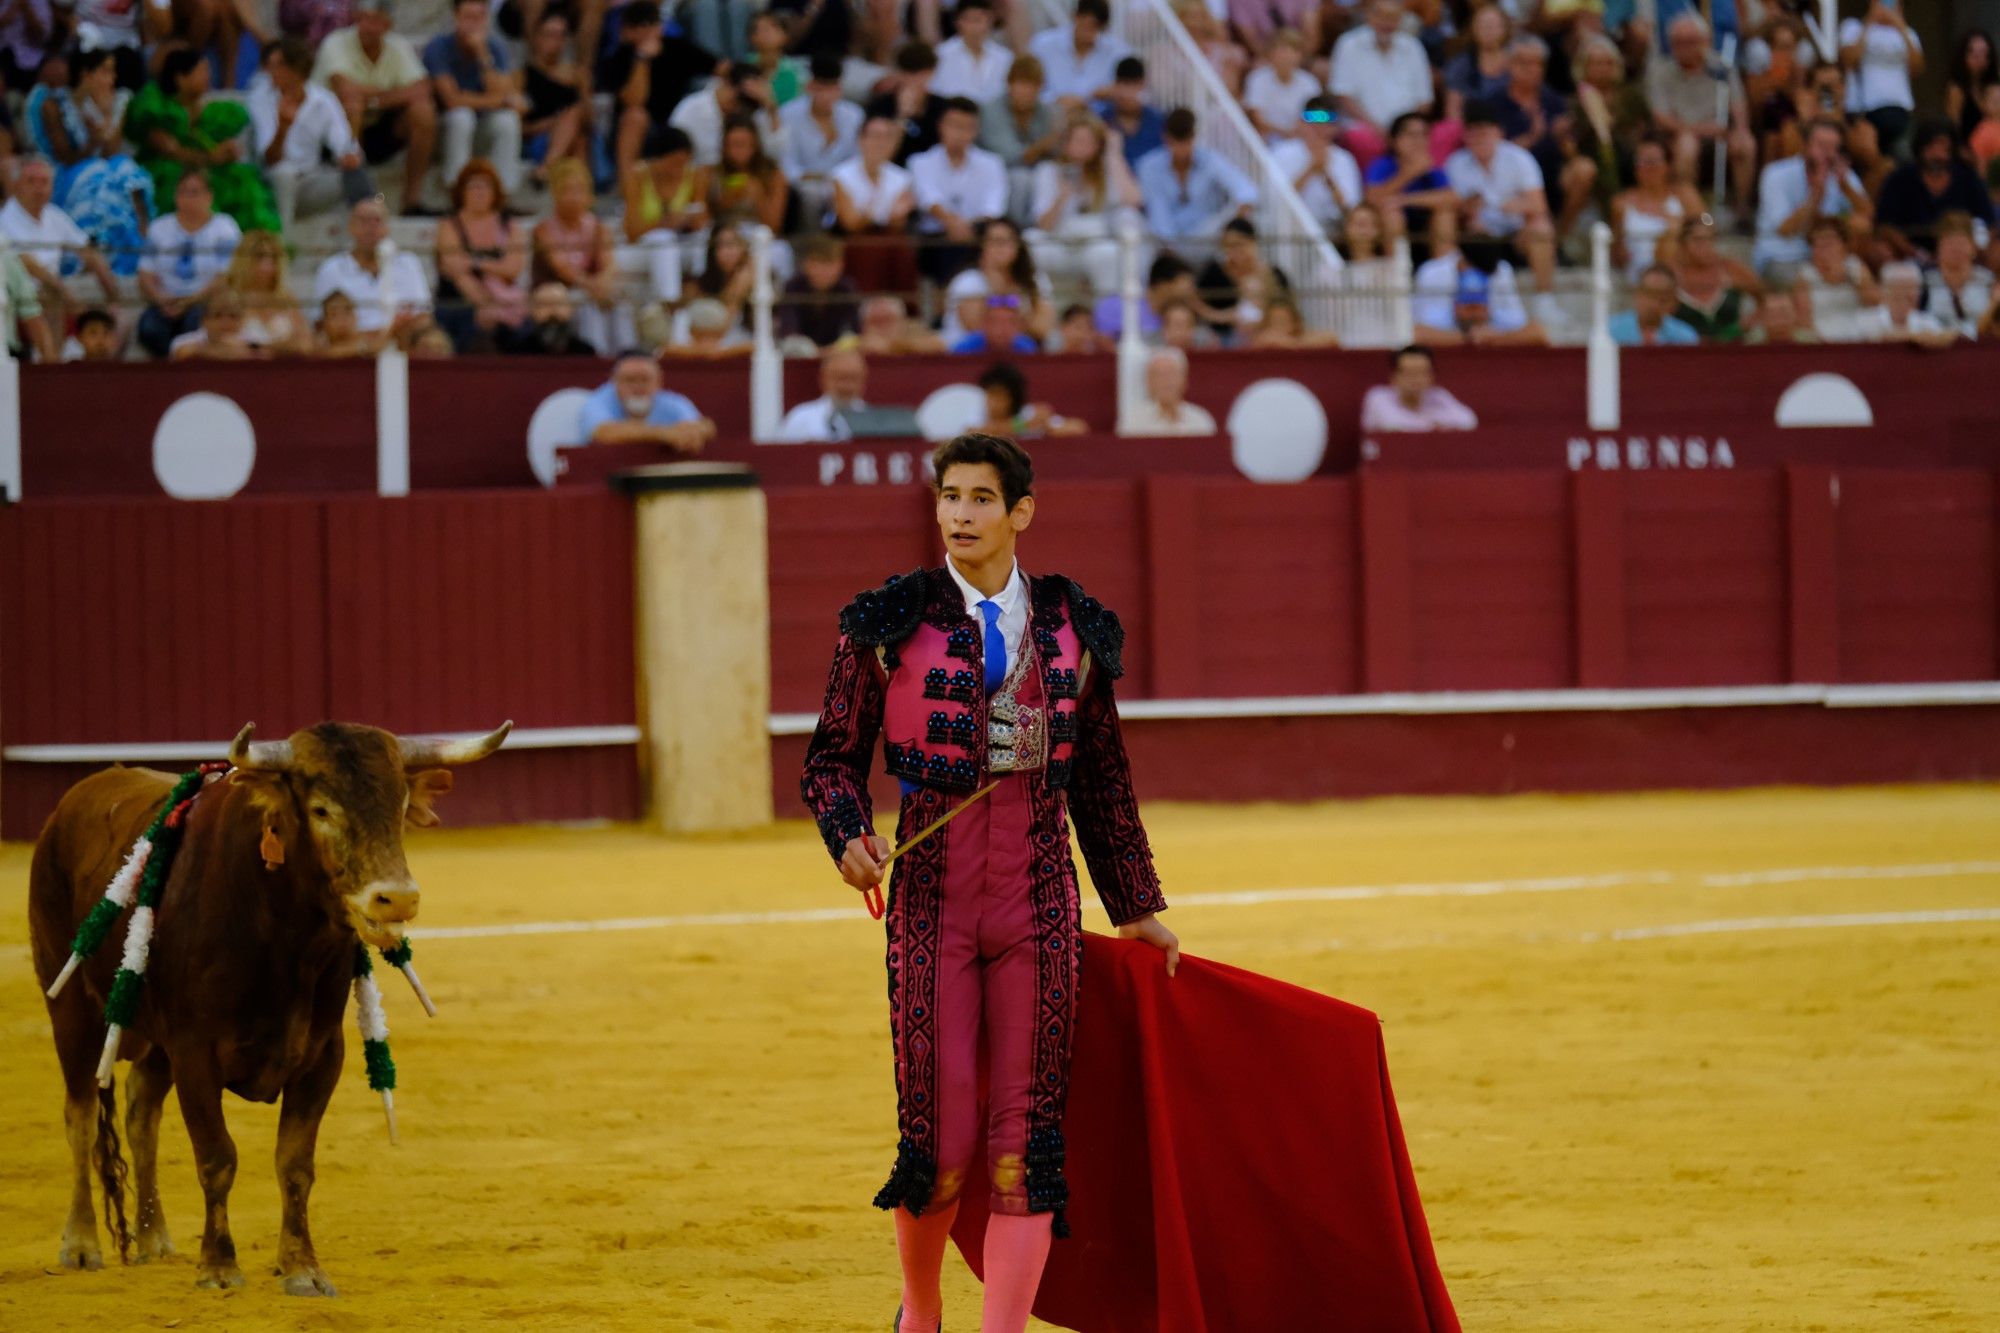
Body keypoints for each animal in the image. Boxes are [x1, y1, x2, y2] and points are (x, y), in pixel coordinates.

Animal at [26, 716, 508, 1288]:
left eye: (400, 804)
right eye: (320, 809)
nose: (397, 899)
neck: (283, 938)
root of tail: (70, 804)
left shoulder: (321, 1055)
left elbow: (295, 1163)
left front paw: (303, 1267)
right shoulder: (195, 1052)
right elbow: (217, 1157)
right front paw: (219, 1266)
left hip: (154, 1039)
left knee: (142, 1112)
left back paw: (154, 1237)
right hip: (70, 1007)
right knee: (79, 1115)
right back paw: (80, 1244)